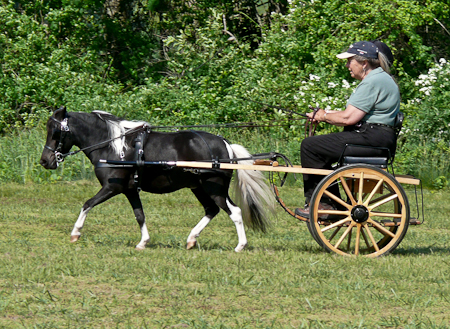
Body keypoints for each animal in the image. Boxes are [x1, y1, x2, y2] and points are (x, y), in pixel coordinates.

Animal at [40, 106, 274, 250]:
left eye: (55, 131)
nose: (45, 161)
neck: (113, 146)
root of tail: (226, 144)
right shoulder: (130, 190)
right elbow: (139, 215)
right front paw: (143, 242)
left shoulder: (112, 187)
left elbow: (87, 204)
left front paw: (75, 233)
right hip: (198, 187)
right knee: (212, 210)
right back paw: (191, 239)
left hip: (214, 188)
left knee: (234, 212)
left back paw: (240, 245)